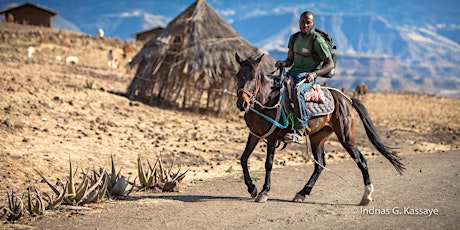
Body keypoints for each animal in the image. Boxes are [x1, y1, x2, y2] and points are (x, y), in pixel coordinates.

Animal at [235, 53, 404, 205]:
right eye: (238, 75)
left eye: (254, 77)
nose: (242, 103)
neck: (267, 101)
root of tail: (346, 98)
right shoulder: (254, 134)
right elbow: (243, 158)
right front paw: (252, 188)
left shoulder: (272, 137)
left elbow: (268, 163)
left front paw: (263, 192)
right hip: (318, 137)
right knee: (319, 165)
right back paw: (302, 193)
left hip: (346, 136)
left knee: (360, 160)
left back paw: (366, 196)